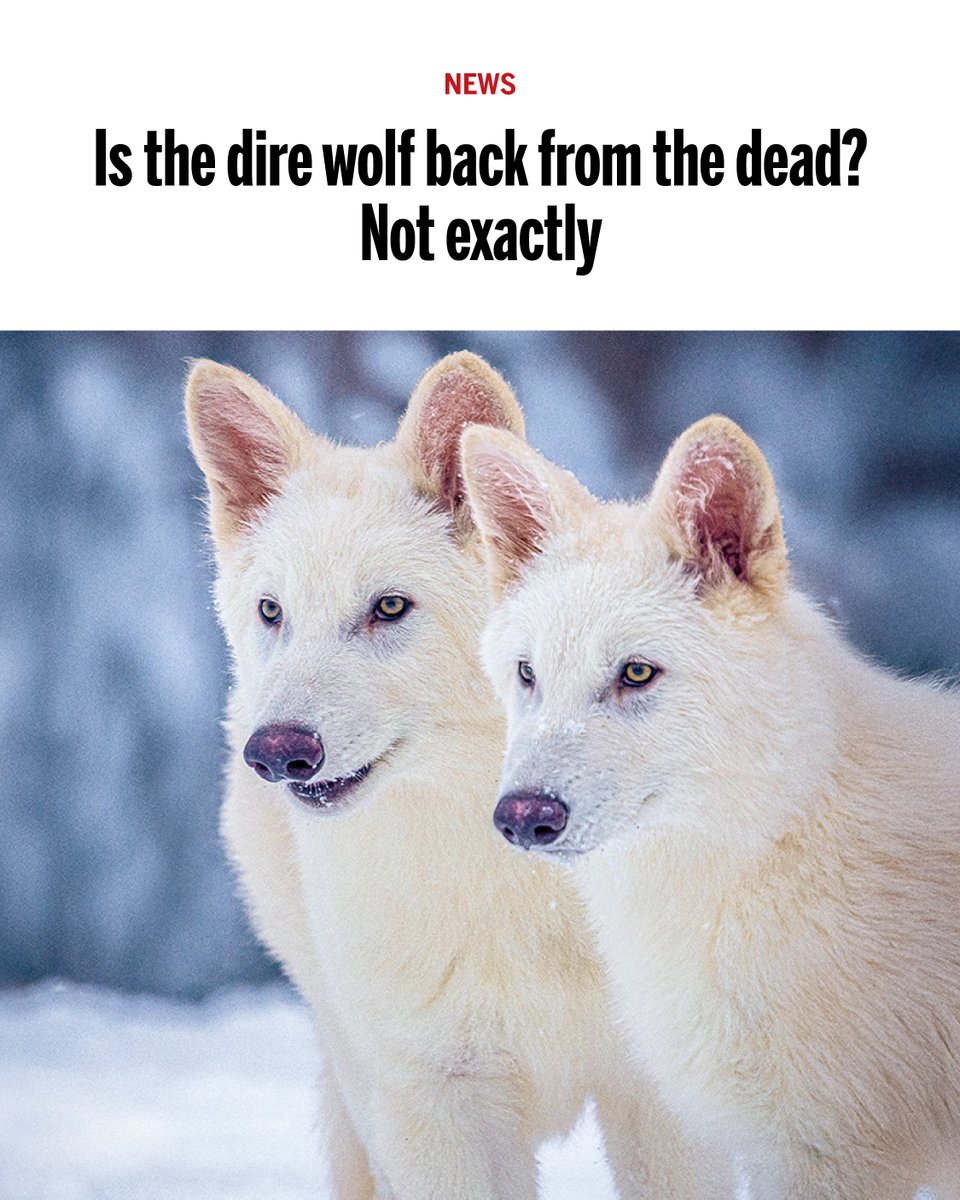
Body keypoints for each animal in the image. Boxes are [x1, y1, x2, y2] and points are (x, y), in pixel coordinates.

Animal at [184, 353, 720, 1200]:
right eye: (273, 612)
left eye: (389, 607)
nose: (276, 752)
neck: (515, 883)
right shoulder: (432, 1105)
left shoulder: (658, 1098)